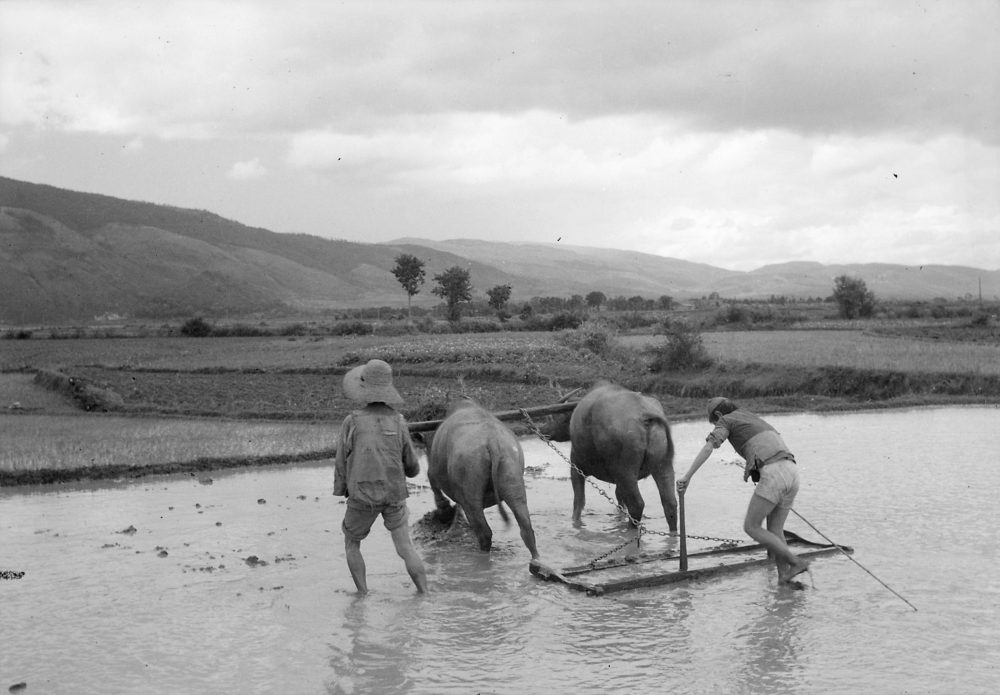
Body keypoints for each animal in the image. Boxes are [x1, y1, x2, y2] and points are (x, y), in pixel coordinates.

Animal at [426, 396, 544, 560]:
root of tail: (492, 441)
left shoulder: (435, 467)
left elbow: (432, 478)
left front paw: (444, 510)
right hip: (511, 468)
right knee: (525, 523)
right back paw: (536, 559)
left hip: (470, 478)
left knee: (483, 529)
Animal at [544, 384, 676, 532]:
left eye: (561, 417)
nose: (544, 430)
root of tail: (645, 415)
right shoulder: (618, 481)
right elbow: (619, 499)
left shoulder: (576, 466)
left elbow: (579, 502)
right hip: (663, 466)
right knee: (670, 504)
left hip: (626, 471)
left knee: (637, 504)